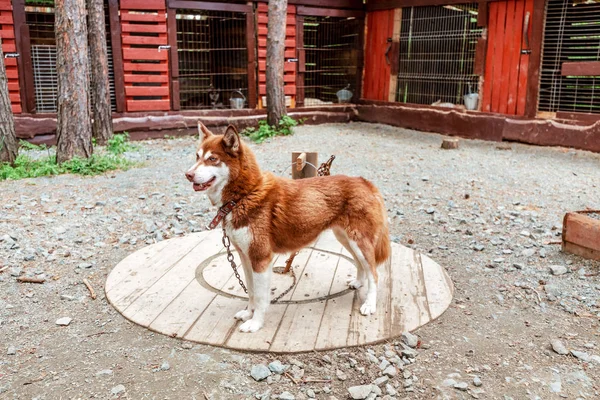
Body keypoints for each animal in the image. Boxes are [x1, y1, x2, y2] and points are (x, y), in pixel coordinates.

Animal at [188, 123, 394, 332]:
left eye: (212, 159)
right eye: (197, 156)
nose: (188, 174)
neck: (244, 196)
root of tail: (365, 182)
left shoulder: (260, 259)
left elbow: (260, 297)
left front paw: (255, 323)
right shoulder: (245, 257)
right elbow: (251, 291)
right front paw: (248, 313)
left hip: (359, 242)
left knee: (374, 274)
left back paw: (369, 305)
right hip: (346, 239)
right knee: (362, 265)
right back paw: (358, 282)